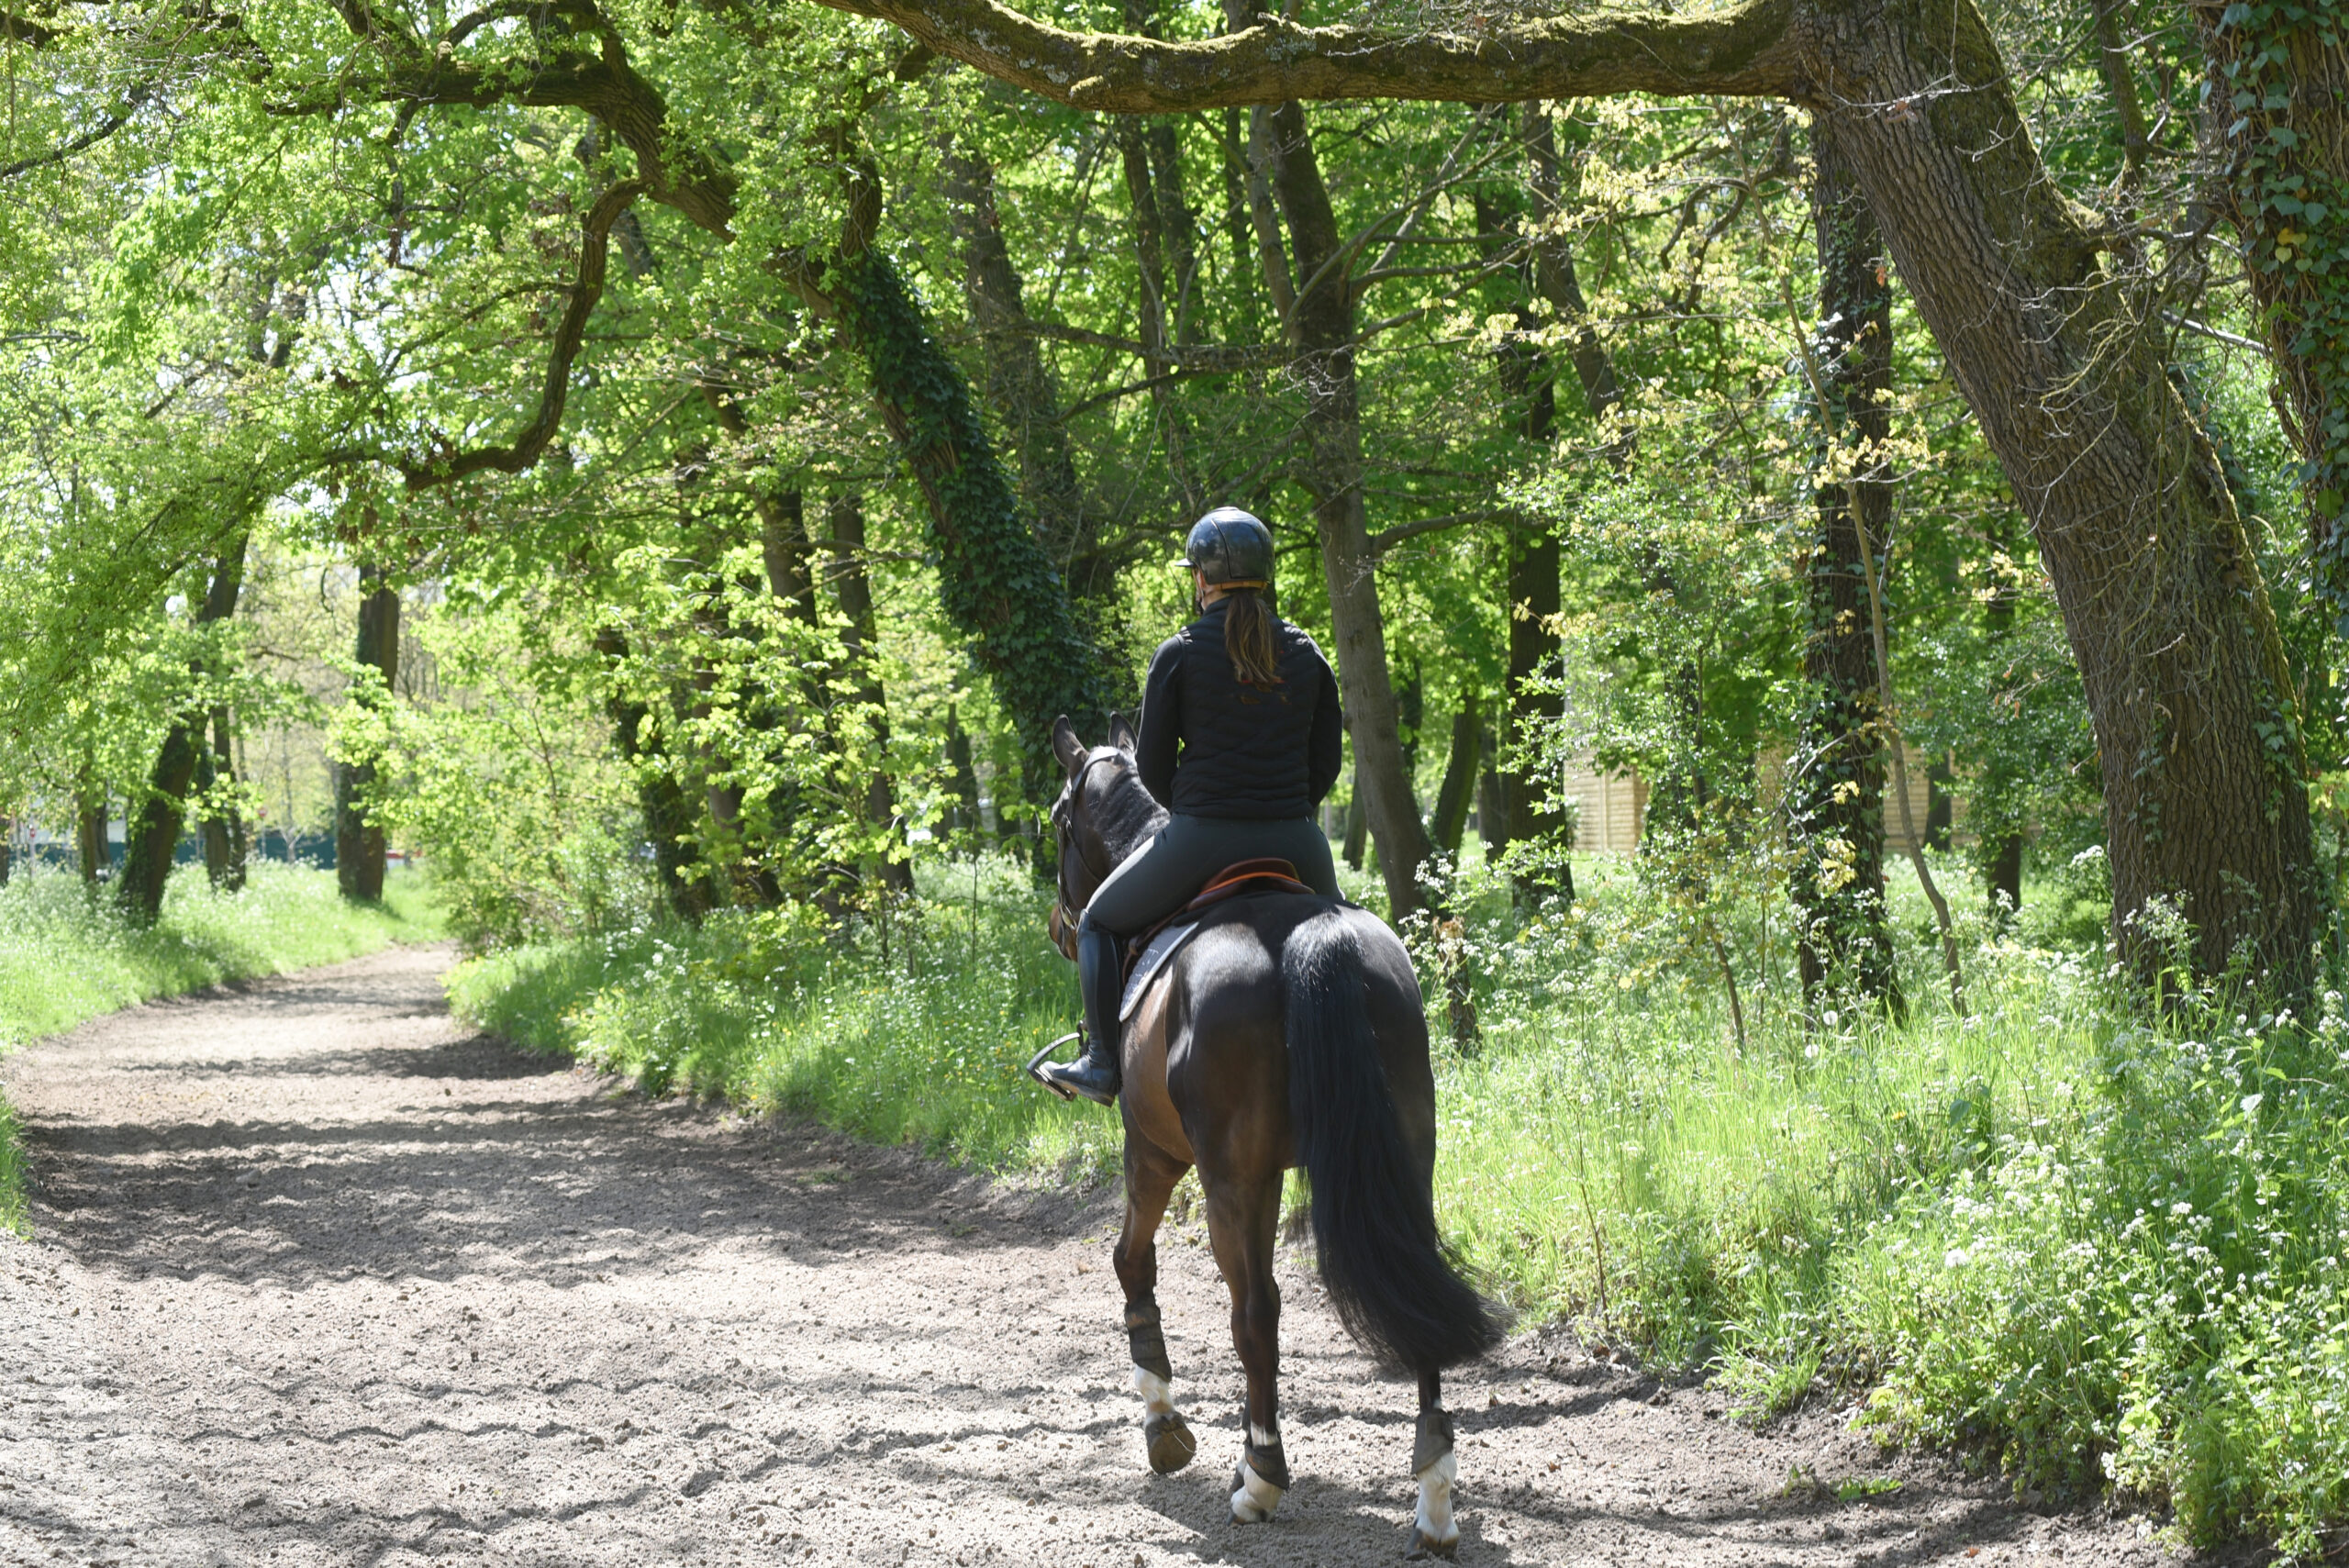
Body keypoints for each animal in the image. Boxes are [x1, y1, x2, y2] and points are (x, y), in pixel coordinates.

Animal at [1047, 713, 1503, 1558]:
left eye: (1060, 820)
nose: (1064, 925)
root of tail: (1304, 936)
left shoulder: (1153, 1154)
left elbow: (1131, 1262)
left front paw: (1162, 1418)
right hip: (1405, 1164)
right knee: (1416, 1295)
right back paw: (1433, 1498)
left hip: (1232, 1180)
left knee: (1255, 1312)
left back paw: (1260, 1477)